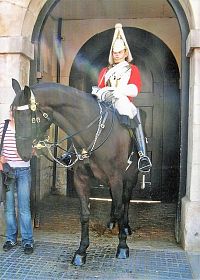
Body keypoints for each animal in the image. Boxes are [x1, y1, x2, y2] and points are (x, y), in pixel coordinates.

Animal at [11, 78, 139, 264]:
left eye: (28, 117)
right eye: (13, 116)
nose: (22, 152)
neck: (90, 134)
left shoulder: (116, 178)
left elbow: (120, 209)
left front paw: (122, 246)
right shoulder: (81, 178)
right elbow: (85, 214)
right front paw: (81, 251)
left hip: (130, 178)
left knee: (126, 202)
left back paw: (125, 227)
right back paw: (111, 222)